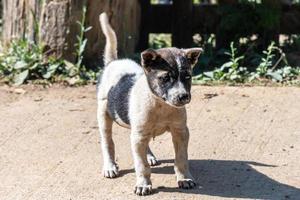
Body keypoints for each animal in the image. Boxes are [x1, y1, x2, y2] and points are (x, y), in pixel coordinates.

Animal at [97, 12, 203, 195]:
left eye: (188, 76)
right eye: (165, 78)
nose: (183, 97)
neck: (160, 105)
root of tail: (113, 62)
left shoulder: (180, 131)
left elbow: (181, 159)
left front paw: (184, 179)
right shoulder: (138, 135)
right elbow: (141, 165)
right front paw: (143, 184)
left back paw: (149, 156)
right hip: (104, 116)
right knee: (108, 142)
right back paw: (110, 166)